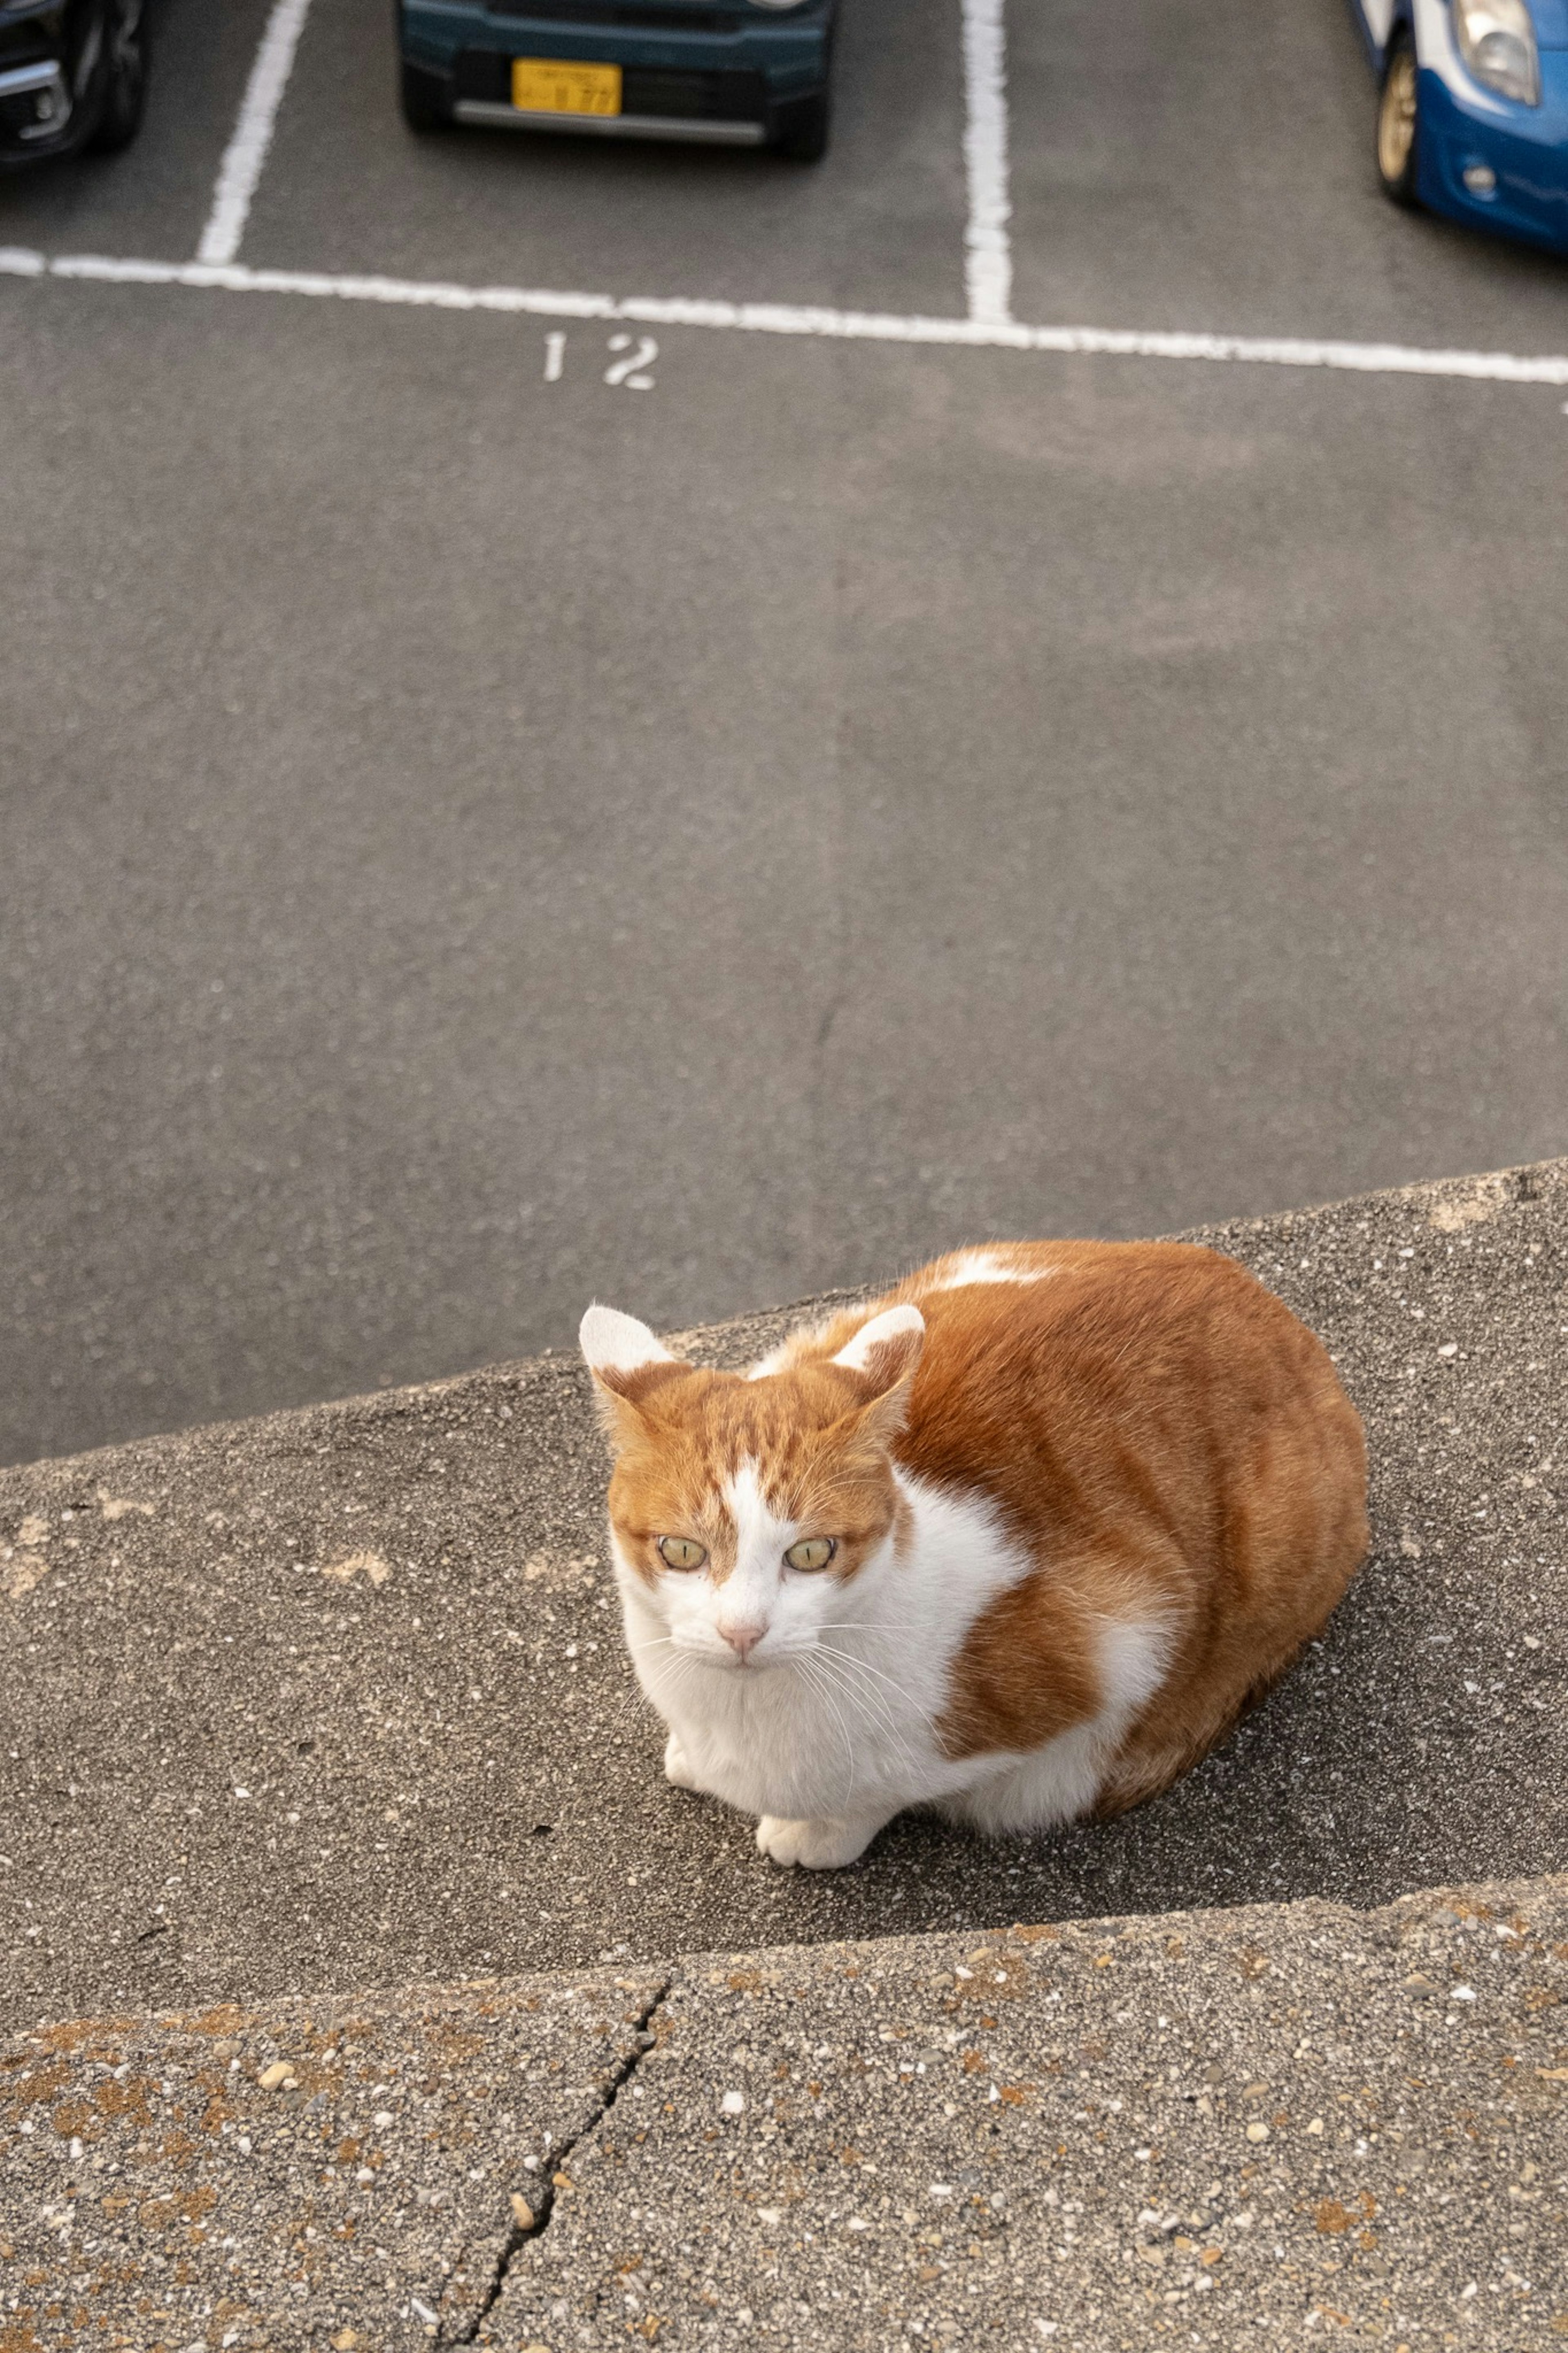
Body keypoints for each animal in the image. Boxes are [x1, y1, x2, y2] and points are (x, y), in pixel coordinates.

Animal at [583, 1242, 1363, 1863]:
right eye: (681, 1550)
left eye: (810, 1555)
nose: (741, 1632)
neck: (733, 1711)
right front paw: (692, 1758)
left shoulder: (1118, 1641)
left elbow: (884, 1790)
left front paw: (816, 1834)